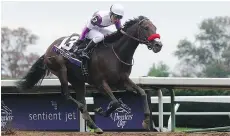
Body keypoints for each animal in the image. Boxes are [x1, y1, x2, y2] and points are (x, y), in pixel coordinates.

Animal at [16, 15, 162, 133]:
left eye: (155, 27)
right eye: (146, 28)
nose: (158, 45)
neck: (115, 53)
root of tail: (48, 50)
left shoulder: (122, 81)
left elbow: (142, 93)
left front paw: (146, 121)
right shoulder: (100, 83)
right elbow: (115, 102)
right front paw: (100, 110)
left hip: (78, 81)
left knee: (80, 99)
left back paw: (94, 126)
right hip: (60, 69)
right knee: (68, 95)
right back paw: (89, 118)